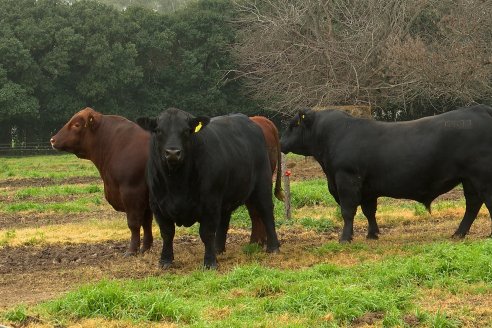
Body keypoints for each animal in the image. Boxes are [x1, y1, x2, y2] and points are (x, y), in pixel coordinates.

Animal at [50, 108, 152, 256]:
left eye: (77, 125)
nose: (52, 140)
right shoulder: (146, 198)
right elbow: (146, 222)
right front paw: (145, 248)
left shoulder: (132, 192)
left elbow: (133, 223)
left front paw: (132, 250)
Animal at [138, 109, 278, 268]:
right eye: (158, 130)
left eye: (186, 130)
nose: (173, 153)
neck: (177, 183)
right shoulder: (158, 205)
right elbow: (167, 233)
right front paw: (165, 260)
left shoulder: (210, 203)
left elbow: (207, 233)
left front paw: (210, 262)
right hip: (226, 196)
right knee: (225, 220)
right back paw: (218, 249)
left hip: (262, 184)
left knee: (266, 211)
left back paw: (273, 246)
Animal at [280, 105, 492, 241]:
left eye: (293, 125)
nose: (280, 142)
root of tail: (479, 109)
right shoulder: (366, 188)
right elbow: (369, 211)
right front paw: (372, 234)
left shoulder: (346, 179)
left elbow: (348, 211)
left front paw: (345, 238)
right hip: (468, 179)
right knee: (473, 204)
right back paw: (458, 233)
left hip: (482, 177)